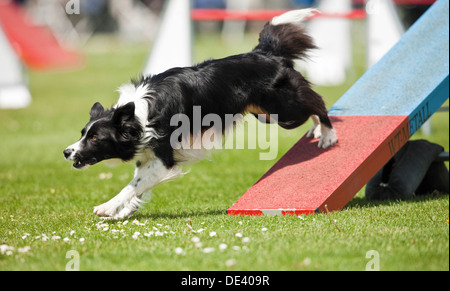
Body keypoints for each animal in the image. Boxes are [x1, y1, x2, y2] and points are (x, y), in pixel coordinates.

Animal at [63, 8, 338, 219]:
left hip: (282, 110)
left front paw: (107, 208)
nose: (66, 152)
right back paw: (317, 129)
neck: (139, 117)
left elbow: (132, 186)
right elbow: (138, 188)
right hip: (266, 114)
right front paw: (124, 212)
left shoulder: (163, 159)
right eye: (82, 133)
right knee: (310, 104)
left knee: (317, 102)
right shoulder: (148, 156)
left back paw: (328, 134)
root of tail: (264, 53)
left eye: (95, 138)